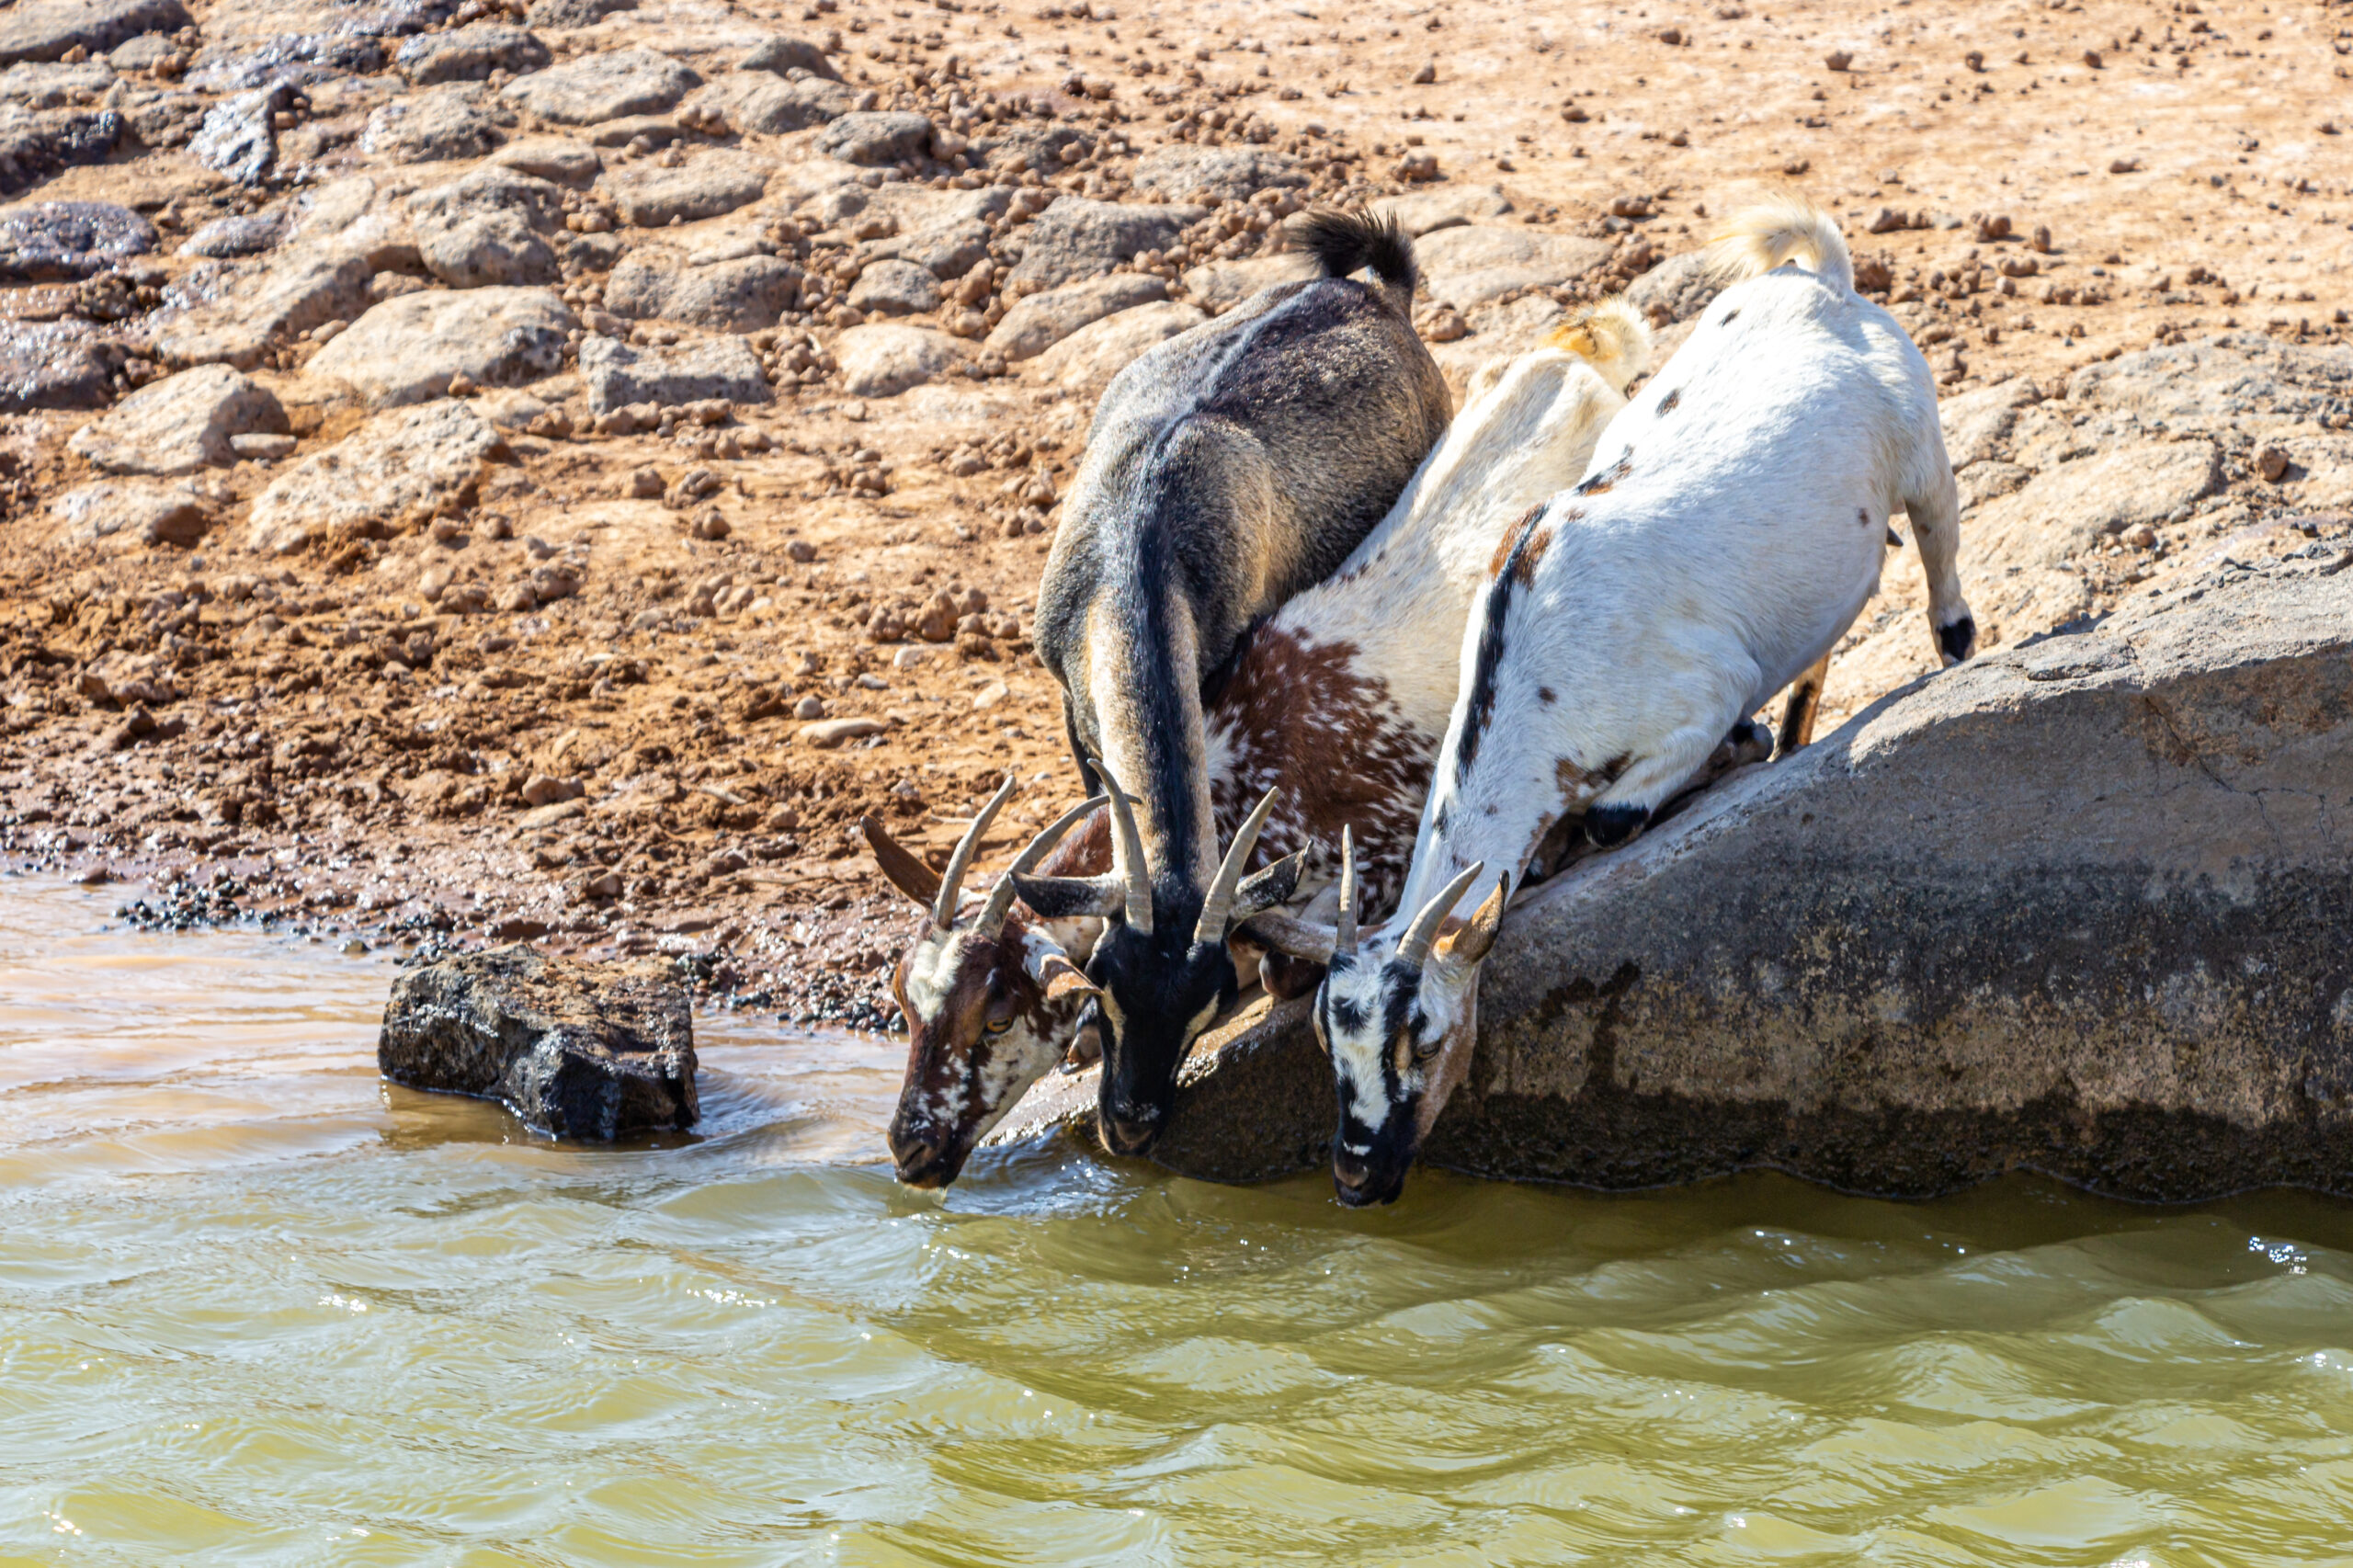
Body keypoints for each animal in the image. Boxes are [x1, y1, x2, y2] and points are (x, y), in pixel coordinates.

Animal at [866, 311, 1656, 1176]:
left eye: (998, 1017)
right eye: (905, 998)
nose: (909, 1147)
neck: (1239, 762)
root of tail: (1573, 349)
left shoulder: (1386, 840)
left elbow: (1287, 960)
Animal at [1026, 204, 1449, 1149]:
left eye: (1206, 1006)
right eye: (1106, 984)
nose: (1132, 1126)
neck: (1135, 551)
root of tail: (1379, 293)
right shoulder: (1071, 710)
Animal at [1279, 199, 1976, 1205]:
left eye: (1426, 1037)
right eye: (1330, 1045)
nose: (1355, 1178)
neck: (1535, 659)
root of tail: (1820, 281)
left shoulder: (1700, 692)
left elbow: (1619, 810)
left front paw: (1731, 755)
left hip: (1922, 452)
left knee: (1941, 552)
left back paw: (1947, 646)